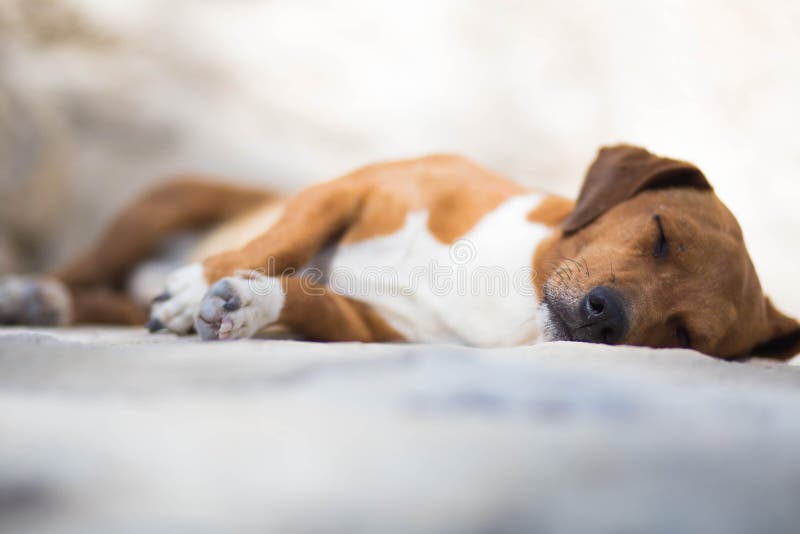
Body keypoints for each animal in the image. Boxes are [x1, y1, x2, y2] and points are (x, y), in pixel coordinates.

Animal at [1, 144, 800, 360]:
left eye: (685, 336)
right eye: (661, 233)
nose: (607, 317)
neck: (512, 285)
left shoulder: (377, 329)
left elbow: (310, 301)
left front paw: (247, 301)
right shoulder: (358, 188)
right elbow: (283, 239)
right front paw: (205, 278)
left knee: (102, 295)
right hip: (164, 200)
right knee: (85, 269)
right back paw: (32, 290)